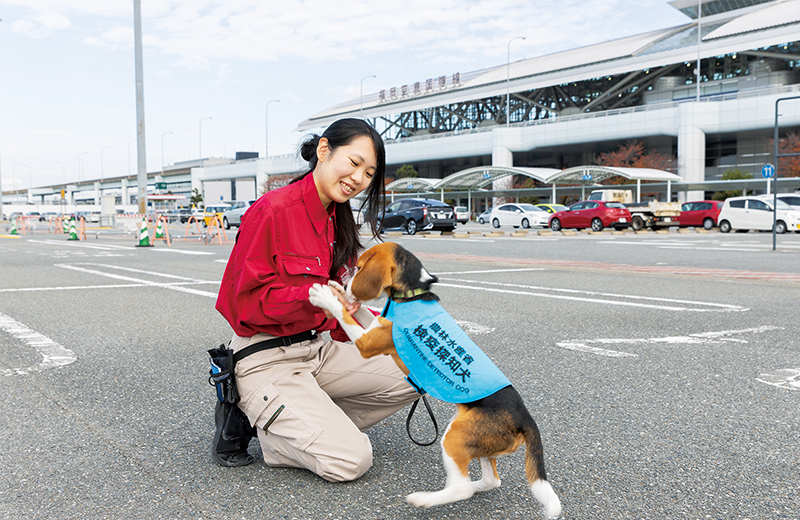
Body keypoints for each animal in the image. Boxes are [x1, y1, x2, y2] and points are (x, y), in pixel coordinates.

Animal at [310, 242, 560, 516]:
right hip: (479, 440)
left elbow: (345, 315)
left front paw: (326, 296)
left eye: (358, 267)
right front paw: (337, 293)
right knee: (491, 480)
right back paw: (474, 486)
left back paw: (425, 499)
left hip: (455, 436)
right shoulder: (375, 324)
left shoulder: (367, 342)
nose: (345, 286)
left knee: (460, 488)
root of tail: (525, 417)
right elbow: (363, 312)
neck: (413, 293)